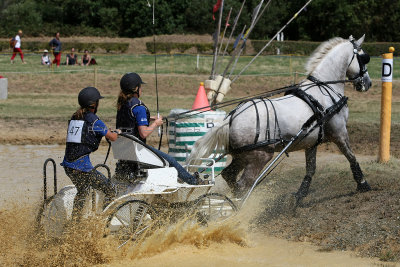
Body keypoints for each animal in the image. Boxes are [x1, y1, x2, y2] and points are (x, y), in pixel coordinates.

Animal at [189, 34, 374, 202]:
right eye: (364, 58)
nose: (368, 83)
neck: (323, 89)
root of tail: (231, 118)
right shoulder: (339, 133)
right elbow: (351, 157)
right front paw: (363, 184)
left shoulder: (311, 142)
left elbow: (311, 169)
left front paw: (300, 195)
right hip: (260, 157)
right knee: (243, 185)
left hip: (241, 156)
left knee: (229, 176)